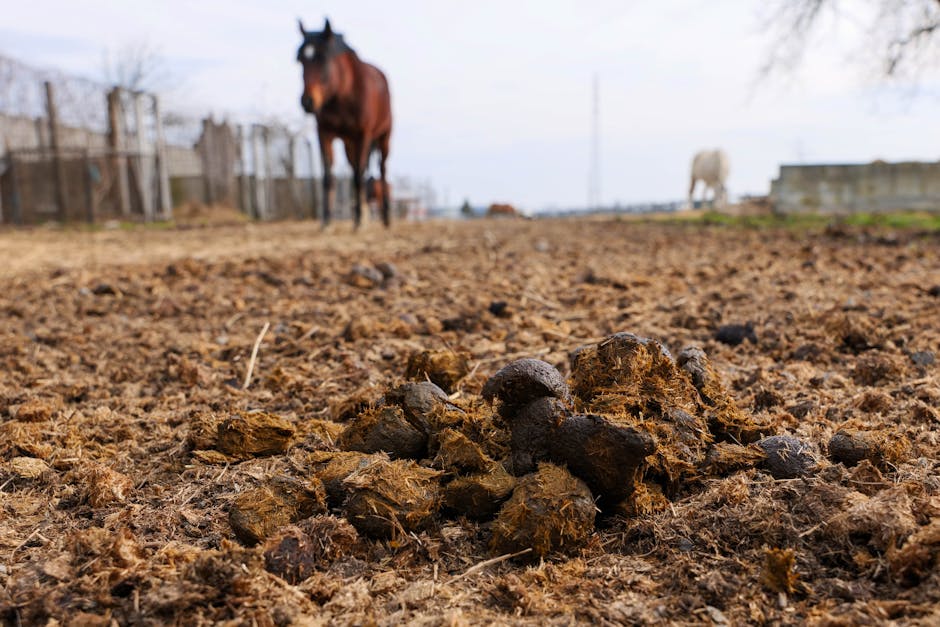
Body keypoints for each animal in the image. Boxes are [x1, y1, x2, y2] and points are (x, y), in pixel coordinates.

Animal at [298, 16, 392, 228]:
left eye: (324, 58)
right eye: (300, 60)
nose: (308, 101)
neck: (341, 94)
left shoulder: (364, 133)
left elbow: (358, 175)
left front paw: (358, 221)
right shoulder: (324, 132)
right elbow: (328, 175)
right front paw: (326, 220)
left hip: (384, 136)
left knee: (381, 169)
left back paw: (384, 216)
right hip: (350, 143)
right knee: (356, 167)